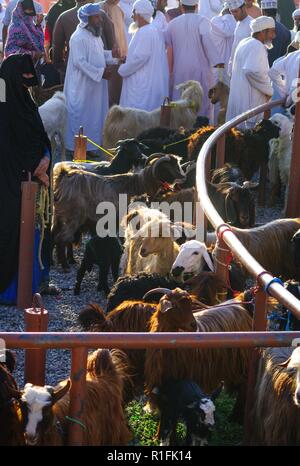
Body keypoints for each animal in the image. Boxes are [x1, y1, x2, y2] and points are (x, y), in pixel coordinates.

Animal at [51, 155, 185, 251]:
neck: (141, 183)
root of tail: (64, 176)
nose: (183, 177)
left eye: (177, 164)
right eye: (168, 167)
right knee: (62, 239)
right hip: (72, 217)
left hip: (57, 215)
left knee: (53, 237)